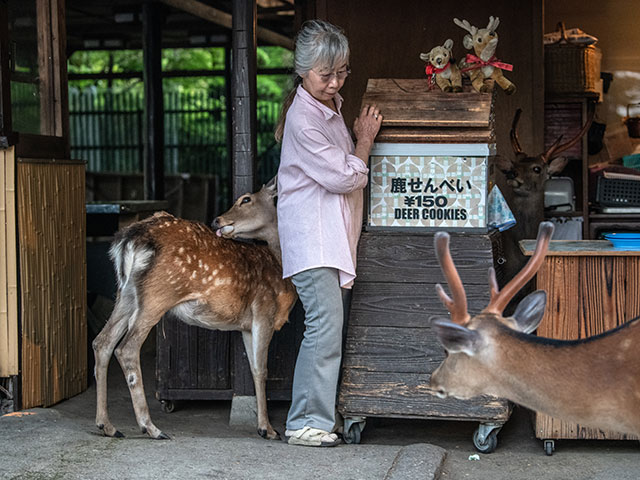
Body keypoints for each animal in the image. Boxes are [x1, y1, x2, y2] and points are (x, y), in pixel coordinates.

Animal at [92, 176, 298, 438]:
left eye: (246, 199)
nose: (217, 220)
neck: (280, 266)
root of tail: (129, 239)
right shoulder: (264, 310)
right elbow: (262, 370)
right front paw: (267, 429)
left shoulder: (246, 325)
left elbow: (253, 369)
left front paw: (262, 425)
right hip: (158, 294)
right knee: (127, 348)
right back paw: (151, 427)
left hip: (126, 293)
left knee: (102, 342)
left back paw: (107, 426)